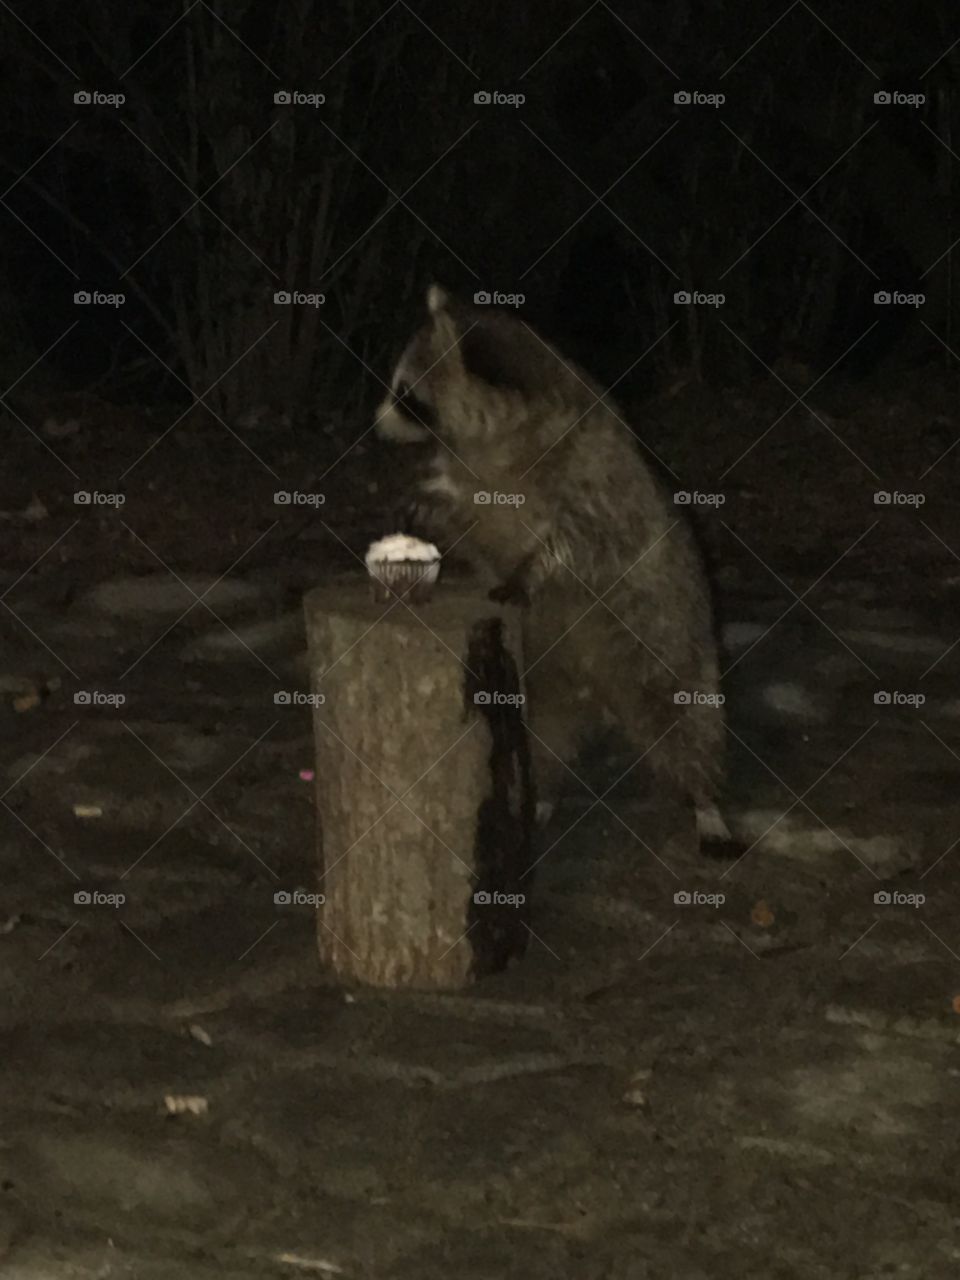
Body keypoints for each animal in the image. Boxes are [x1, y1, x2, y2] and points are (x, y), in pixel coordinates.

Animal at [375, 284, 730, 847]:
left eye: (407, 394)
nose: (377, 428)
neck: (494, 438)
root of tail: (601, 694)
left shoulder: (592, 474)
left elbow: (581, 541)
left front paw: (534, 567)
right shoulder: (470, 482)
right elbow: (463, 523)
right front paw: (422, 509)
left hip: (667, 639)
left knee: (689, 719)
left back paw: (705, 800)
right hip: (541, 680)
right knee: (540, 741)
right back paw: (539, 798)